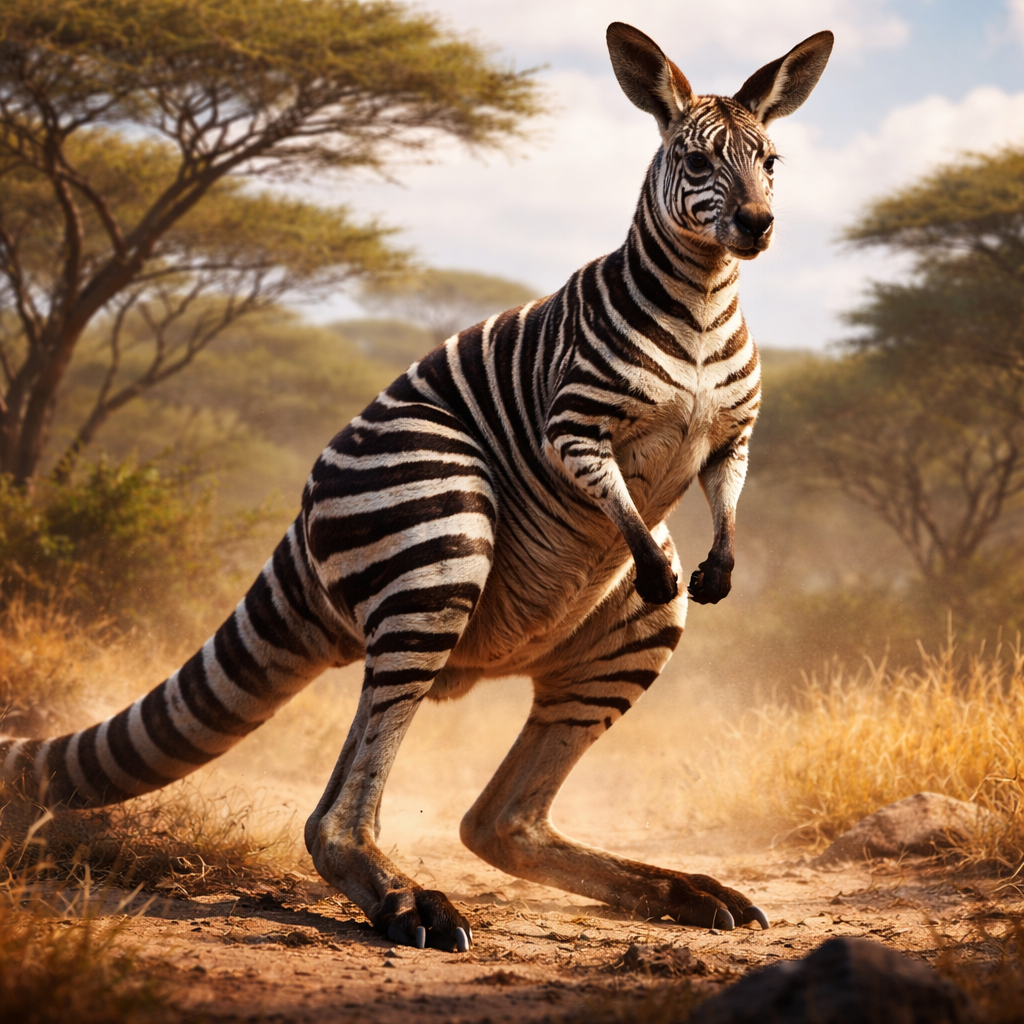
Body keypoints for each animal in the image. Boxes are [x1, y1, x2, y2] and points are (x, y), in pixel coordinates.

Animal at [0, 23, 832, 953]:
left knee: (495, 819)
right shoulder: (572, 424)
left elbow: (727, 497)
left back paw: (685, 893)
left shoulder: (733, 438)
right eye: (695, 161)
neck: (699, 301)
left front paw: (722, 567)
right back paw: (413, 908)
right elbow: (610, 488)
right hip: (437, 534)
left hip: (622, 632)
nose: (757, 224)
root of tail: (301, 523)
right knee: (345, 812)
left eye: (771, 160)